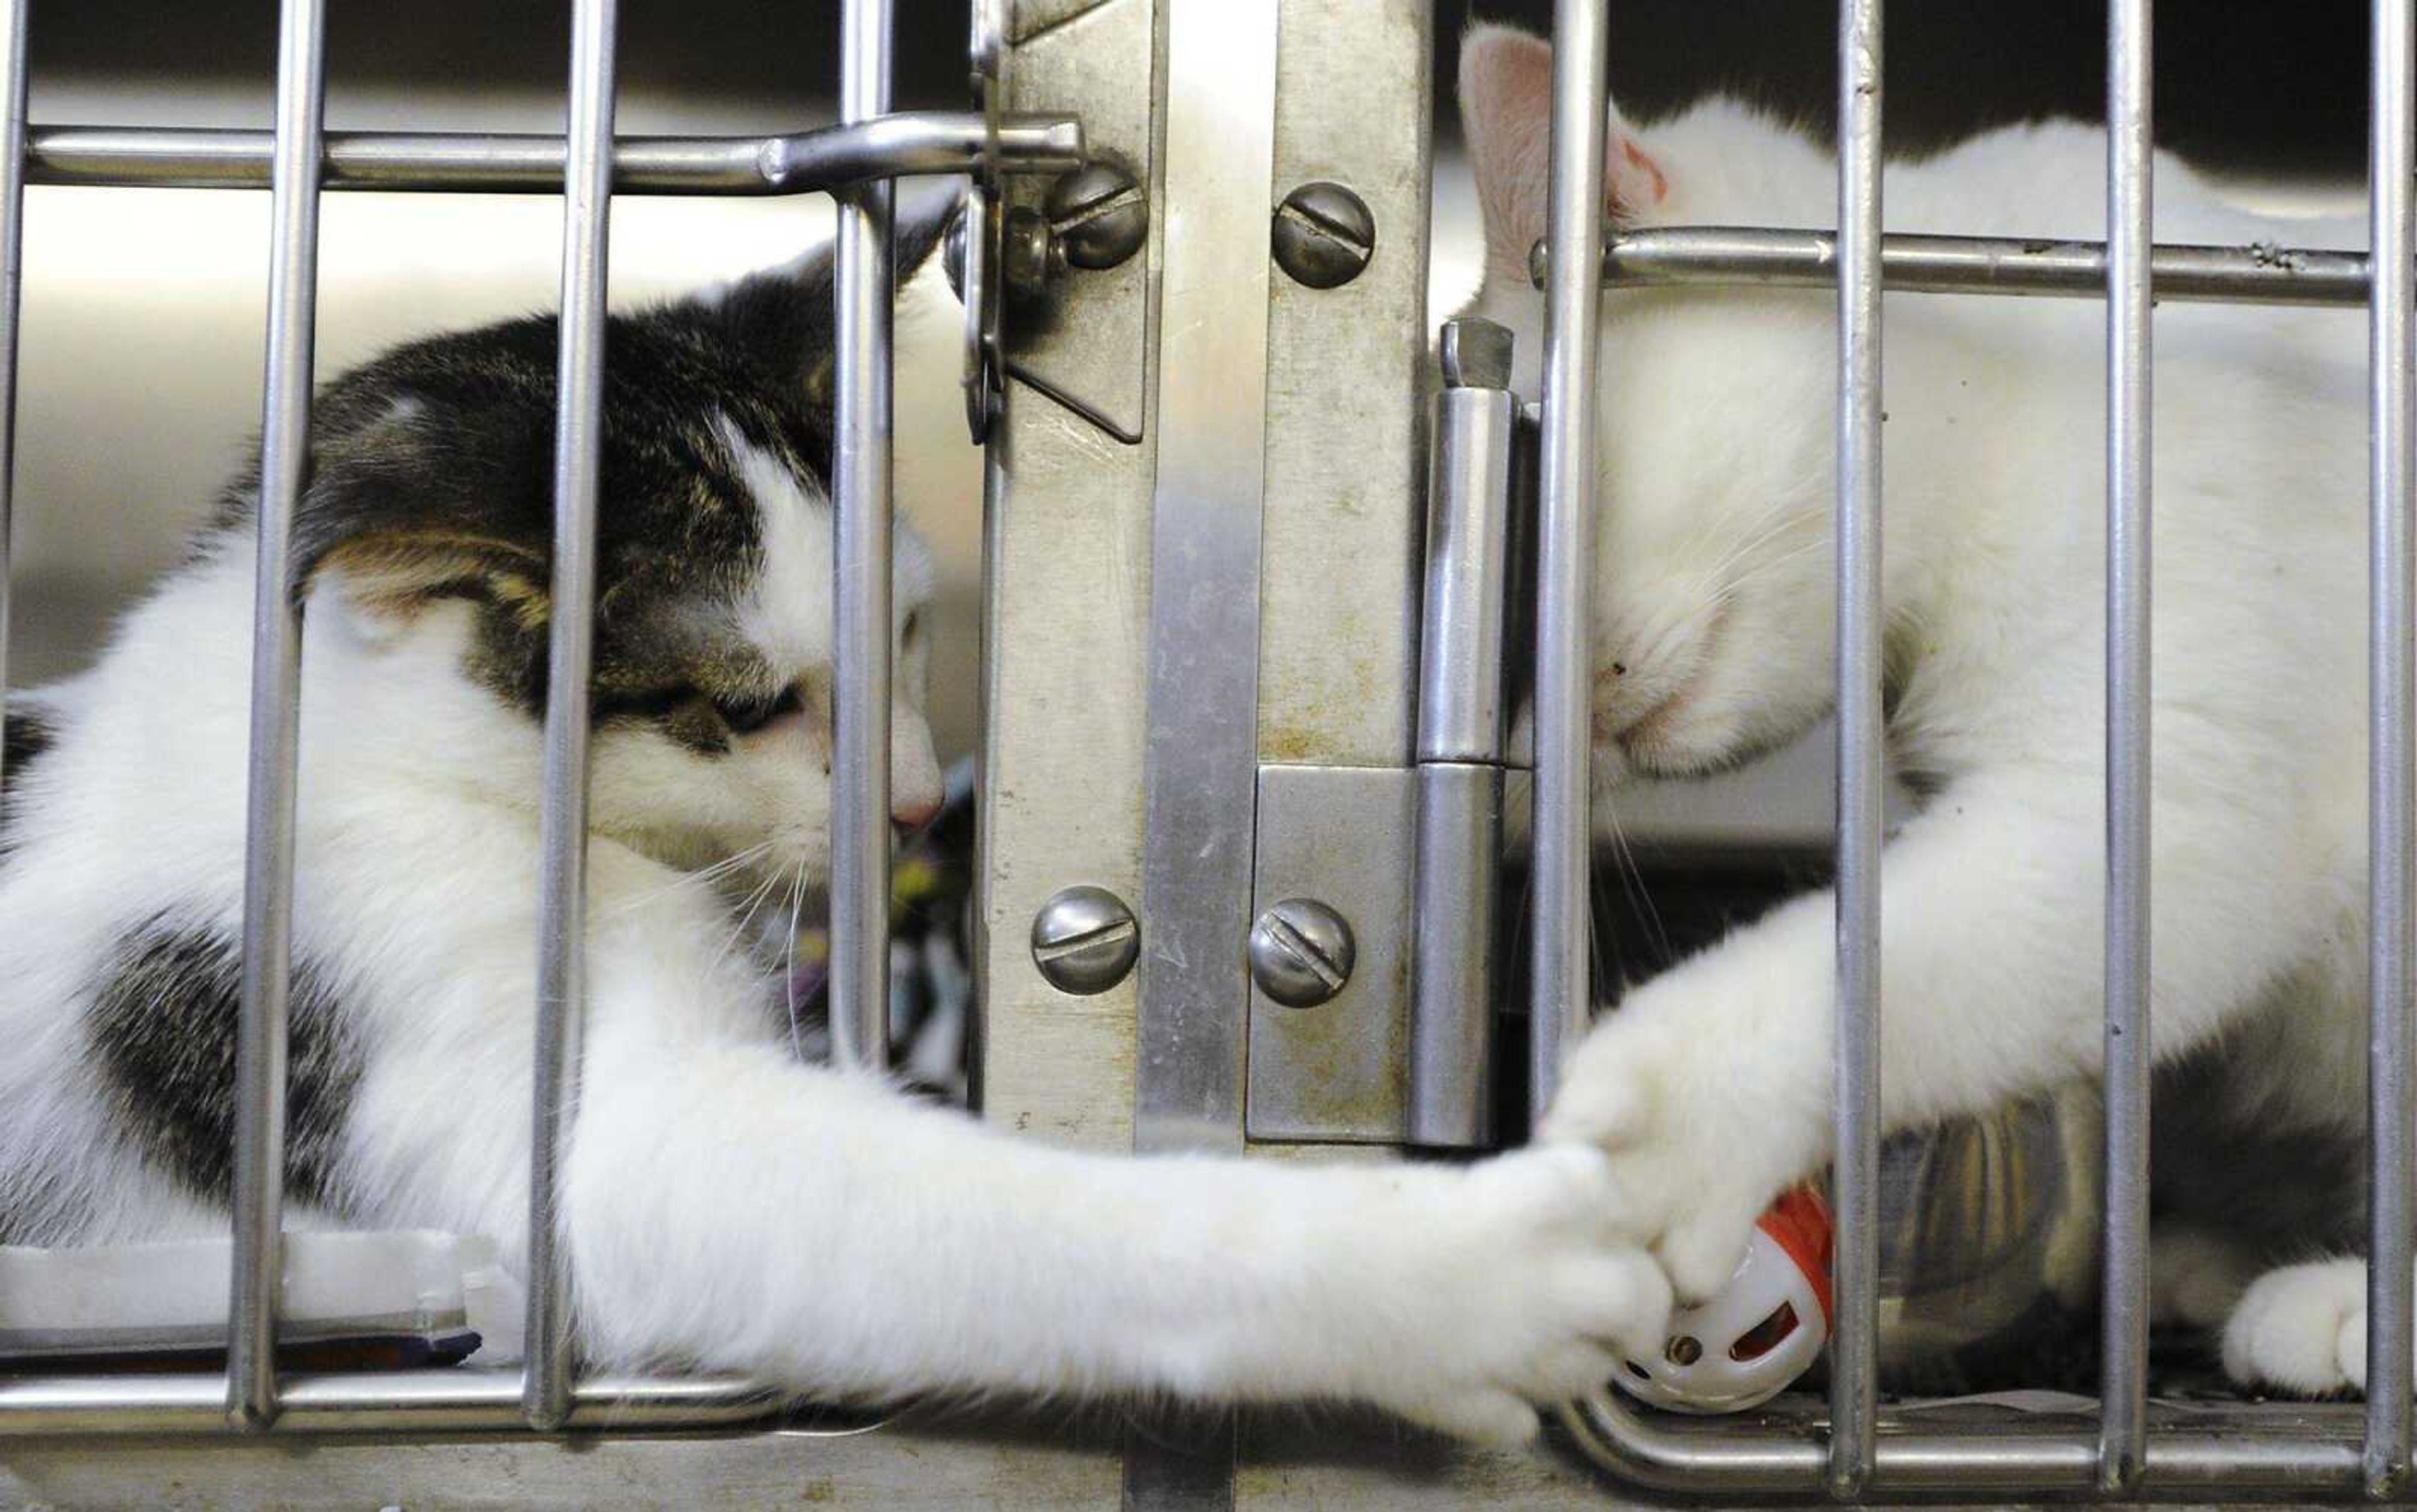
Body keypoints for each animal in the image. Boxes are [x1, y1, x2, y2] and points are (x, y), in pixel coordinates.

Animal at [0, 212, 1662, 1439]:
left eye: (910, 627)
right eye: (749, 708)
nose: (917, 798)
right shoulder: (391, 1005)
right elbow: (983, 1220)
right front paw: (1461, 1269)